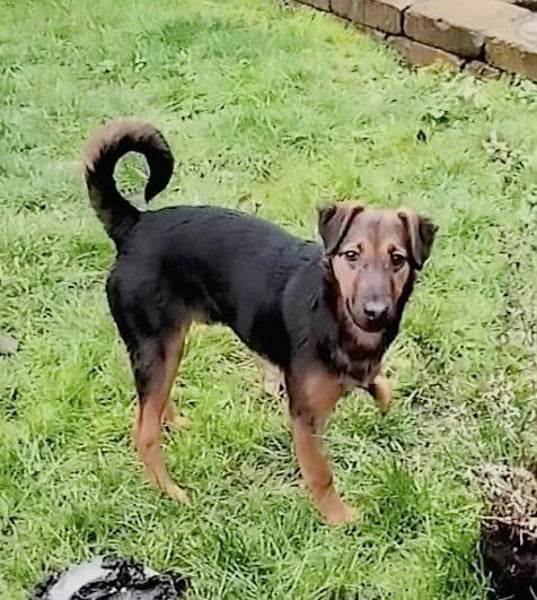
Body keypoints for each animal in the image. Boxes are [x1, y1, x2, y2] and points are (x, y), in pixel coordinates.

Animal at [83, 118, 437, 525]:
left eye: (398, 259)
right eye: (351, 255)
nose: (376, 311)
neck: (334, 312)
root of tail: (135, 224)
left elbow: (383, 386)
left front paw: (377, 394)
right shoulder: (305, 415)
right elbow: (321, 473)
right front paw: (339, 517)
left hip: (163, 348)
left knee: (150, 407)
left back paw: (175, 423)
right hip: (158, 344)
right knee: (143, 431)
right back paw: (170, 492)